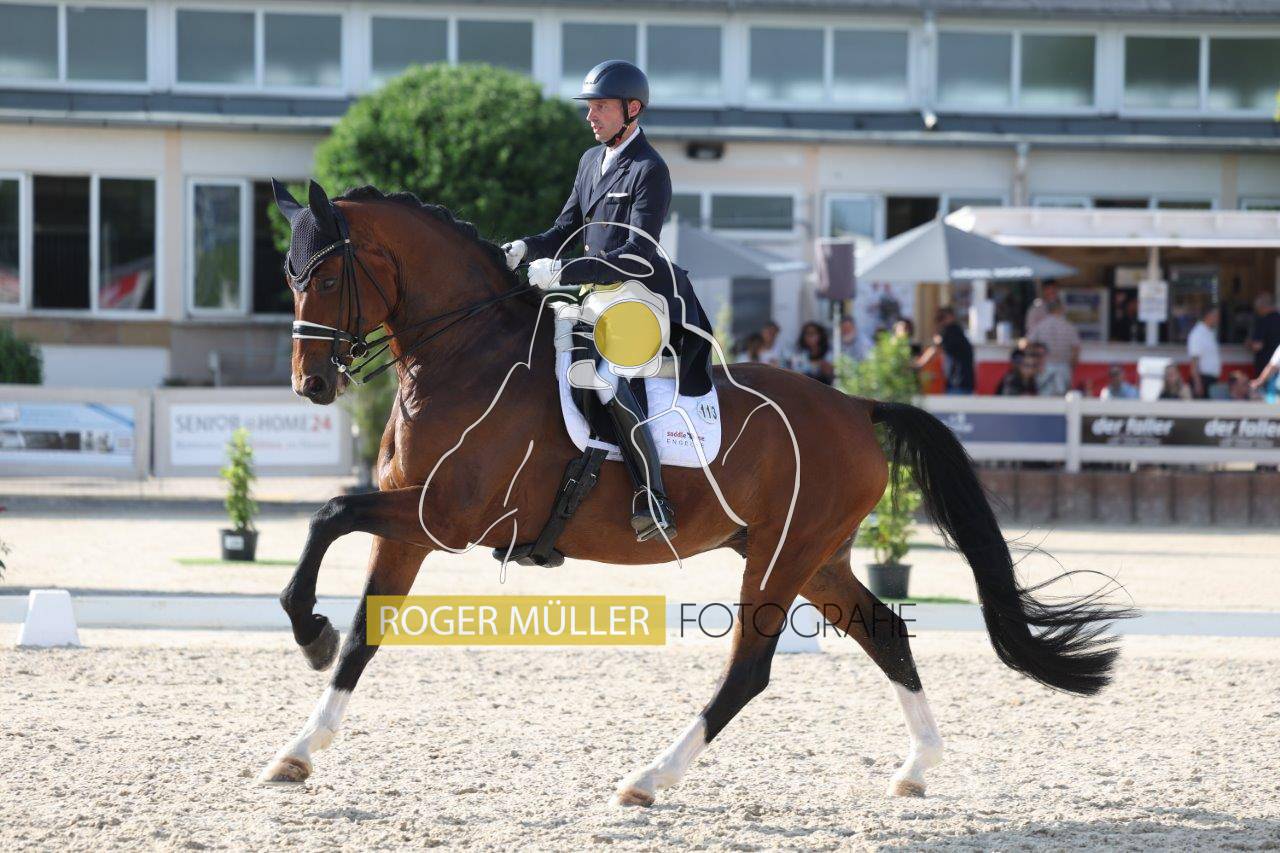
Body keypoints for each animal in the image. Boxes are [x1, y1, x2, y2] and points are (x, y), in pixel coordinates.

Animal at [259, 181, 1130, 806]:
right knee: (885, 631)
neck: (463, 355)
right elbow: (365, 634)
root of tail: (856, 405)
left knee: (749, 670)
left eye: (326, 272)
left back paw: (650, 778)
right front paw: (298, 748)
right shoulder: (409, 527)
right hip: (815, 557)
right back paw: (917, 768)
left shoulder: (442, 517)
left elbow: (327, 515)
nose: (310, 385)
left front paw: (309, 631)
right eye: (288, 274)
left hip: (779, 558)